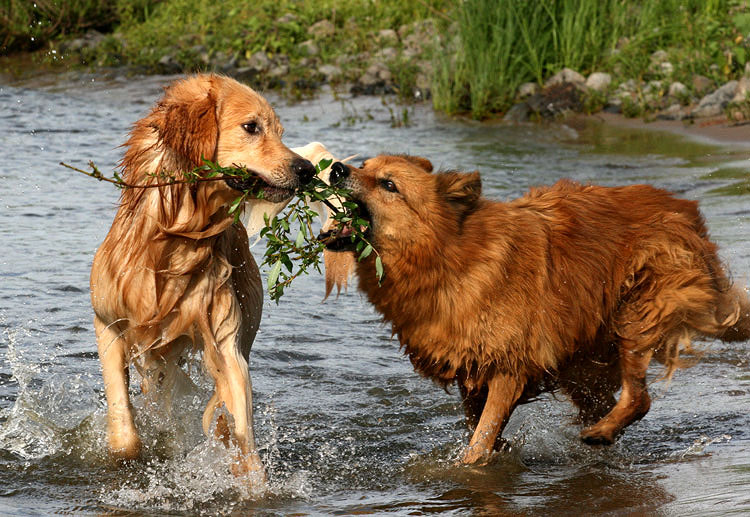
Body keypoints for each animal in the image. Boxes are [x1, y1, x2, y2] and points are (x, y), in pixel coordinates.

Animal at [326, 154, 750, 464]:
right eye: (365, 164)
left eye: (389, 184)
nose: (336, 168)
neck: (448, 256)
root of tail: (686, 209)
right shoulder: (471, 370)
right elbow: (480, 425)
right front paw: (499, 449)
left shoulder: (510, 366)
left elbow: (480, 439)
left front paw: (473, 466)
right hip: (582, 363)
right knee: (608, 400)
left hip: (634, 315)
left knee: (639, 398)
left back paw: (601, 432)